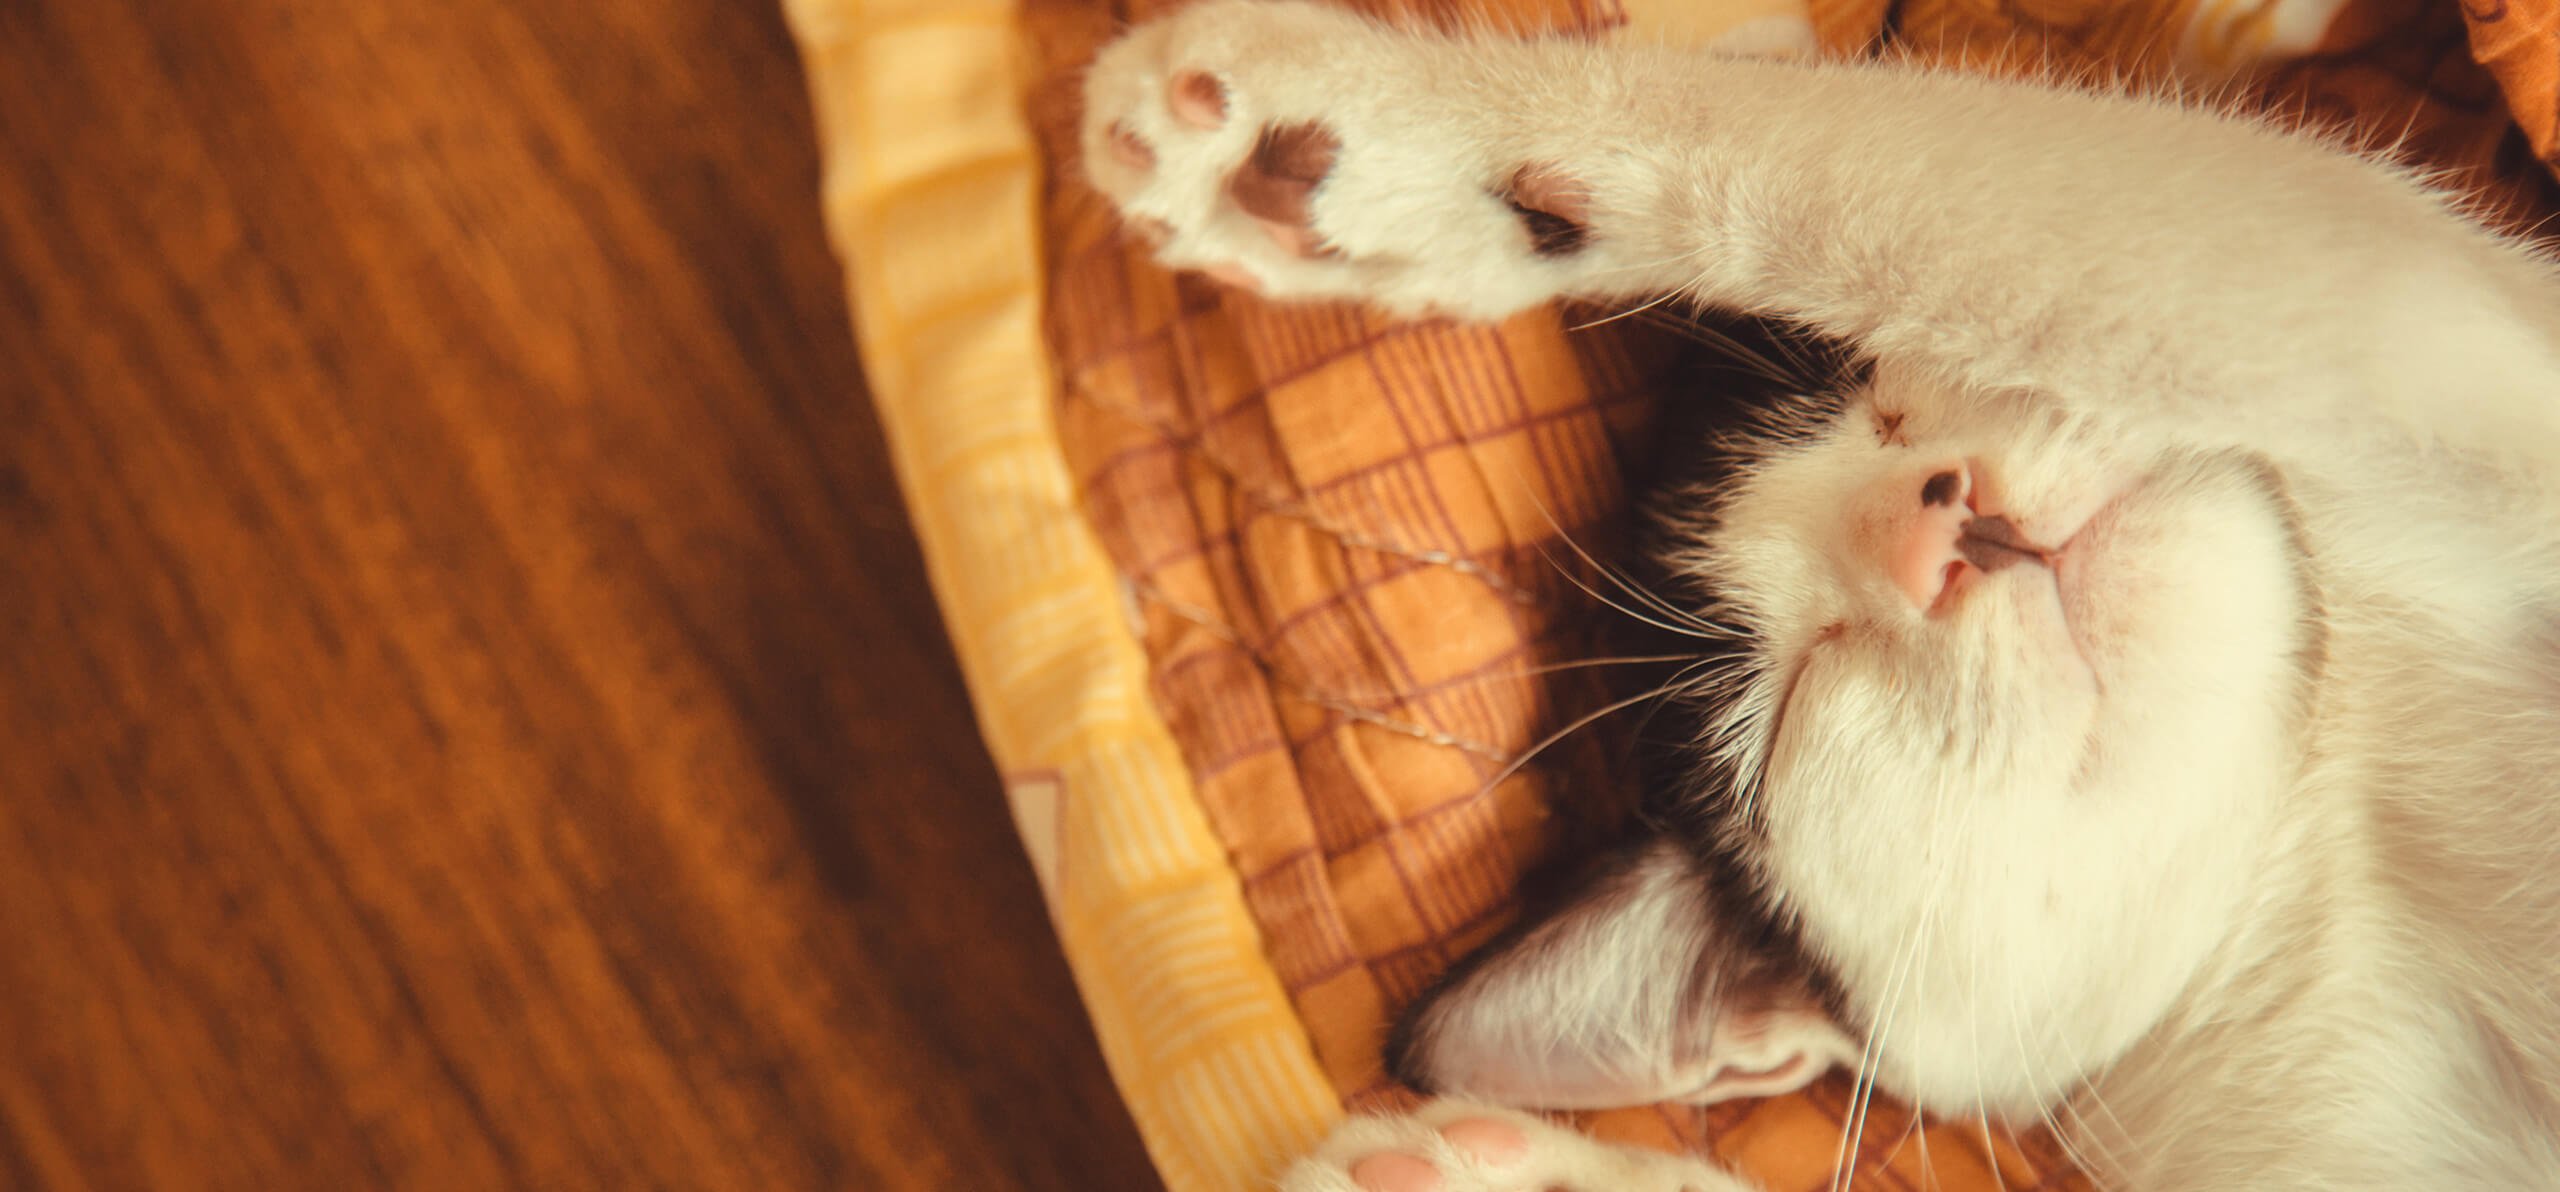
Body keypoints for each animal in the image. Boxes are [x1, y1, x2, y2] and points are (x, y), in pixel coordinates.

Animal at [1070, 4, 2560, 1186]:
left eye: (1870, 386)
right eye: (1781, 714)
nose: (1943, 525)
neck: (2310, 839)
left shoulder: (2437, 352)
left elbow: (1850, 168)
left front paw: (1349, 140)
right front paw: (1509, 1174)